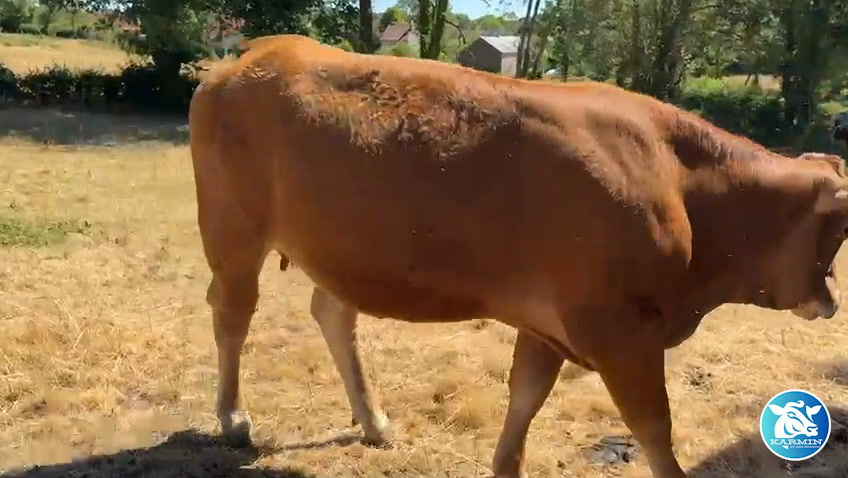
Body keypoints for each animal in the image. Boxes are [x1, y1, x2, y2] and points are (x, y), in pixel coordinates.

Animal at [187, 34, 848, 478]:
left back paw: (373, 421)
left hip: (339, 248)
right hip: (232, 233)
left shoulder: (547, 325)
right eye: (837, 233)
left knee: (332, 313)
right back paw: (234, 418)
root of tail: (253, 55)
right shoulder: (619, 334)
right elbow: (654, 429)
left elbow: (524, 400)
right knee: (231, 314)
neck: (685, 186)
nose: (831, 302)